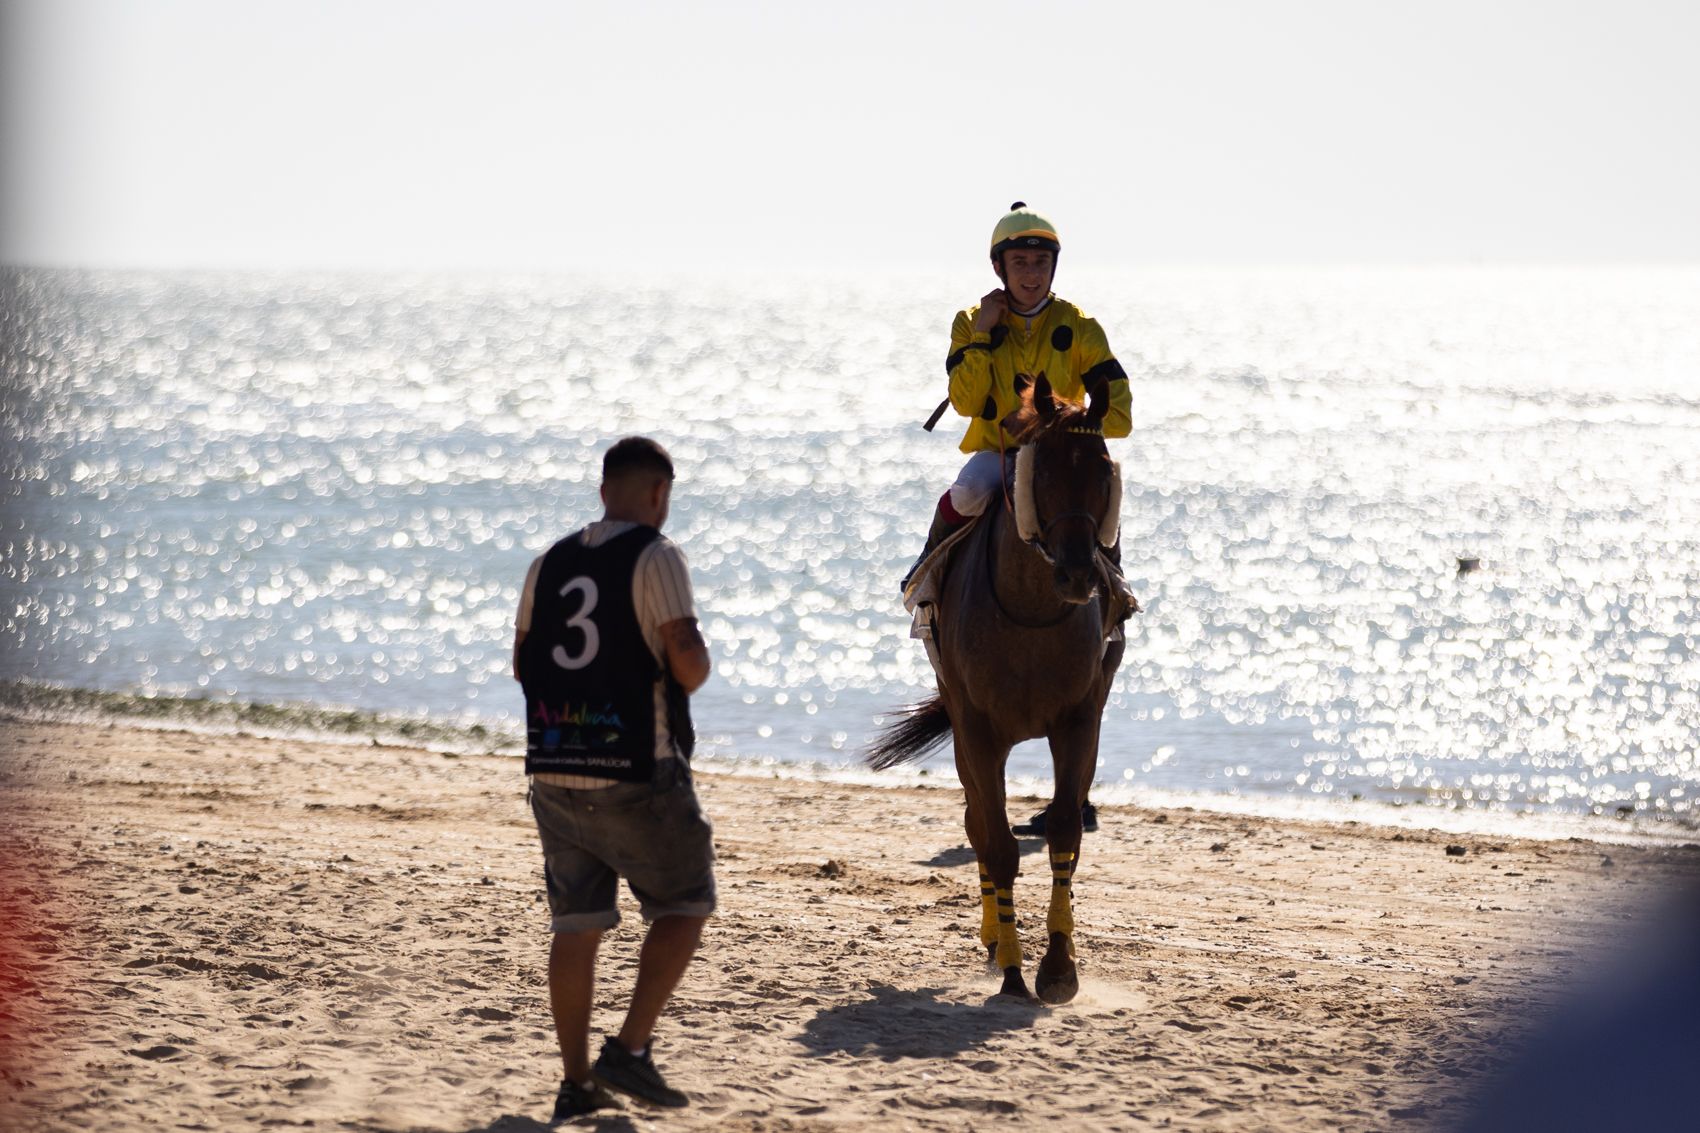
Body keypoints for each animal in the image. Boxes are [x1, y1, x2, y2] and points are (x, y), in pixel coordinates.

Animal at [869, 374, 1127, 1003]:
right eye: (1044, 471)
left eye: (1102, 471)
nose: (1080, 573)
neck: (1031, 611)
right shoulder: (978, 729)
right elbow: (997, 842)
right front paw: (1012, 969)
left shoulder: (1079, 721)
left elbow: (1064, 830)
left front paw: (1058, 967)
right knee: (978, 823)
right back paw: (992, 941)